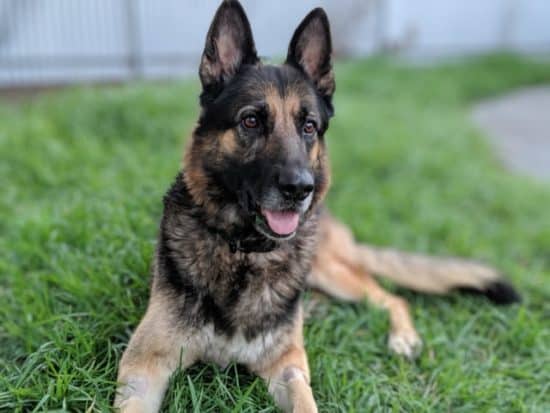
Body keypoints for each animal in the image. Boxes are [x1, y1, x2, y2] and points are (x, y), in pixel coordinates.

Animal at [115, 1, 520, 410]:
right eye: (251, 120)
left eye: (309, 126)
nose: (300, 189)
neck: (245, 254)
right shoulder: (142, 368)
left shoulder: (288, 368)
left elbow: (305, 397)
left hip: (330, 271)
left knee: (389, 297)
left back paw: (402, 337)